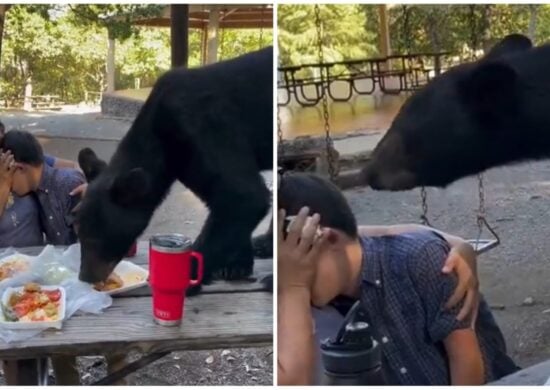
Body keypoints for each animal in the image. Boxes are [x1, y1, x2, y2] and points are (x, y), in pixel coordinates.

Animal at [76, 47, 274, 292]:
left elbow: (243, 195)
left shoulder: (203, 126)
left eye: (97, 238)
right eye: (78, 230)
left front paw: (188, 278)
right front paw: (236, 264)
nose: (85, 276)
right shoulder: (187, 162)